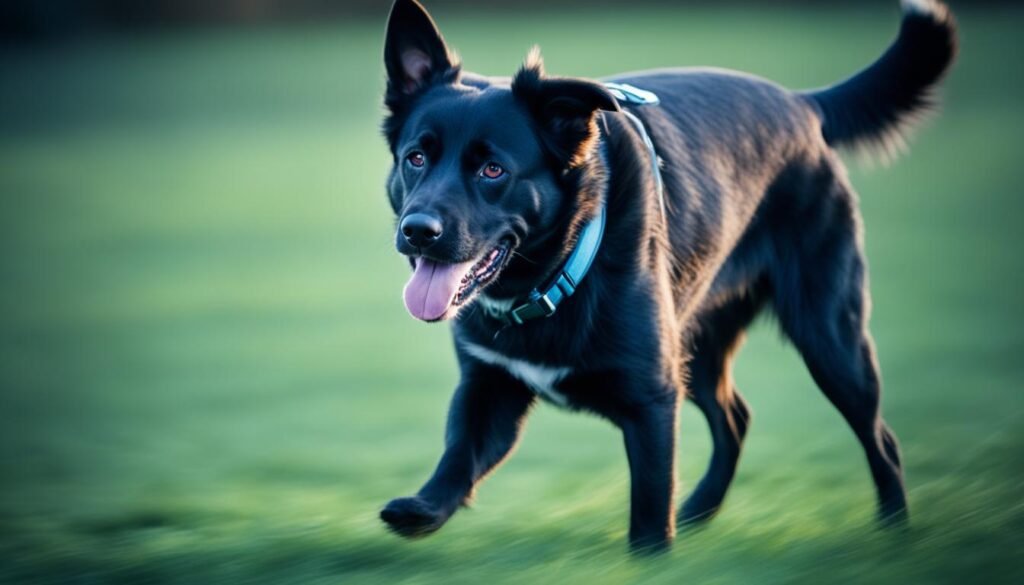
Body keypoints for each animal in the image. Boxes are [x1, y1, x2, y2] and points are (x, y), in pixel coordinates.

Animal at [378, 0, 958, 553]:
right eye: (416, 158)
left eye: (492, 170)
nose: (418, 231)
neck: (553, 277)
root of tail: (803, 105)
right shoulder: (490, 386)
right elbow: (459, 456)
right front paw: (422, 509)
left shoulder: (652, 400)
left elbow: (650, 512)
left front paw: (653, 561)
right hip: (694, 346)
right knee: (736, 418)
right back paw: (700, 511)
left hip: (829, 338)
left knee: (880, 439)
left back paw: (895, 531)